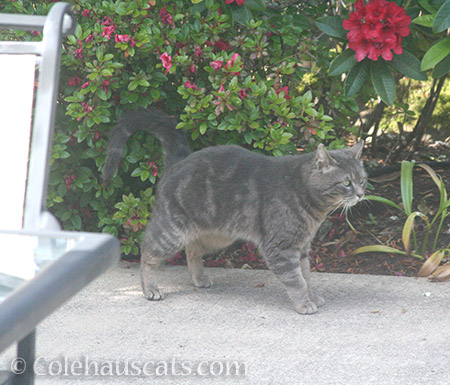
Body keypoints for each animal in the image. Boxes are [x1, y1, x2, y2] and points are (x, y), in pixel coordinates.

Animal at [103, 107, 366, 312]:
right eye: (346, 182)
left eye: (362, 179)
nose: (361, 194)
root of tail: (180, 160)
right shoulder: (281, 248)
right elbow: (296, 280)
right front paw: (304, 304)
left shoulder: (301, 248)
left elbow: (307, 276)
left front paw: (312, 296)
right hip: (172, 231)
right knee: (148, 251)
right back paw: (150, 288)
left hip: (216, 236)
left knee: (192, 250)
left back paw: (199, 278)